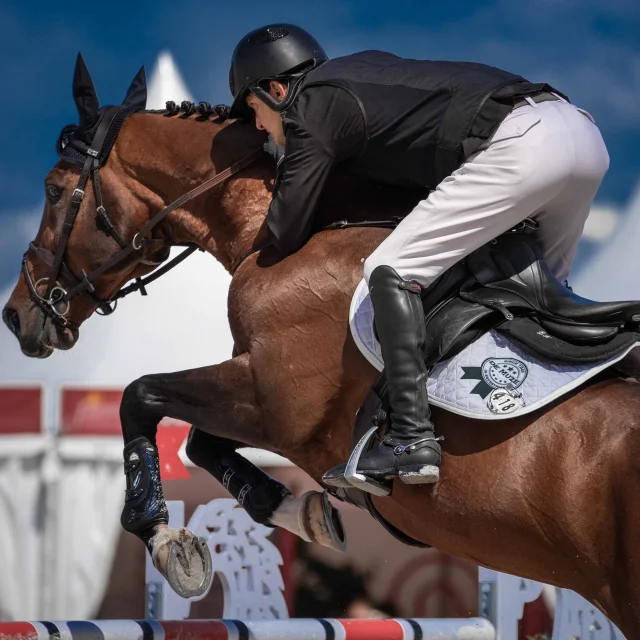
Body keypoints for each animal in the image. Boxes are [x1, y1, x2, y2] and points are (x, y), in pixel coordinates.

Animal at [4, 58, 640, 637]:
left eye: (54, 191)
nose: (16, 315)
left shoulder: (277, 406)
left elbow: (140, 397)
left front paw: (164, 536)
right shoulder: (263, 395)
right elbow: (200, 441)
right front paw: (297, 511)